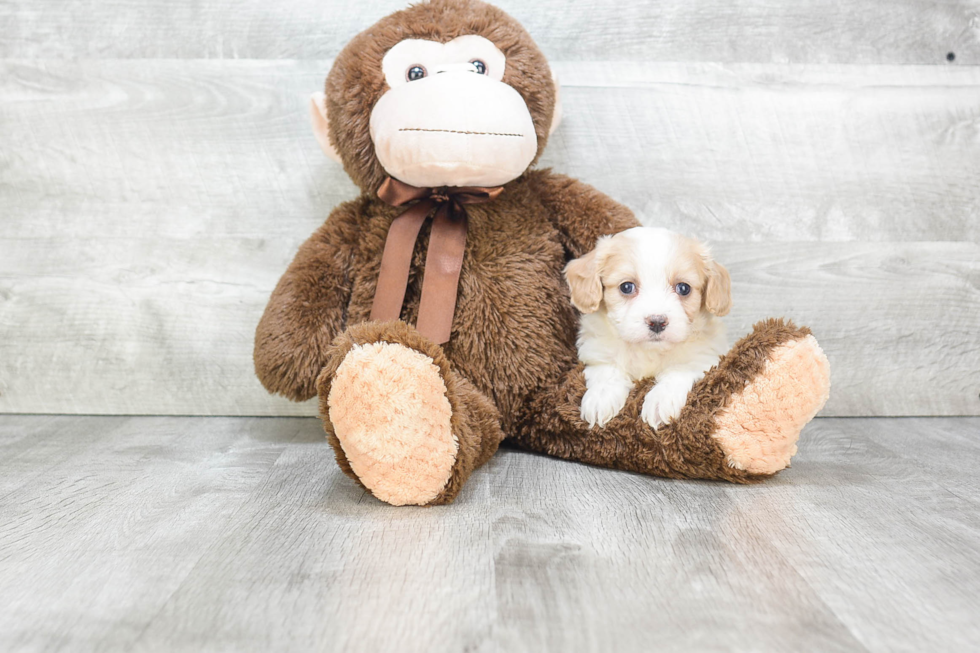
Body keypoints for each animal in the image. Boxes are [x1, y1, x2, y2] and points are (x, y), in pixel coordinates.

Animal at [564, 227, 732, 430]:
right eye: (626, 287)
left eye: (683, 288)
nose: (657, 322)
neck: (649, 350)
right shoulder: (598, 353)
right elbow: (608, 371)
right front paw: (600, 397)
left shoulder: (705, 357)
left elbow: (679, 371)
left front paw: (661, 401)